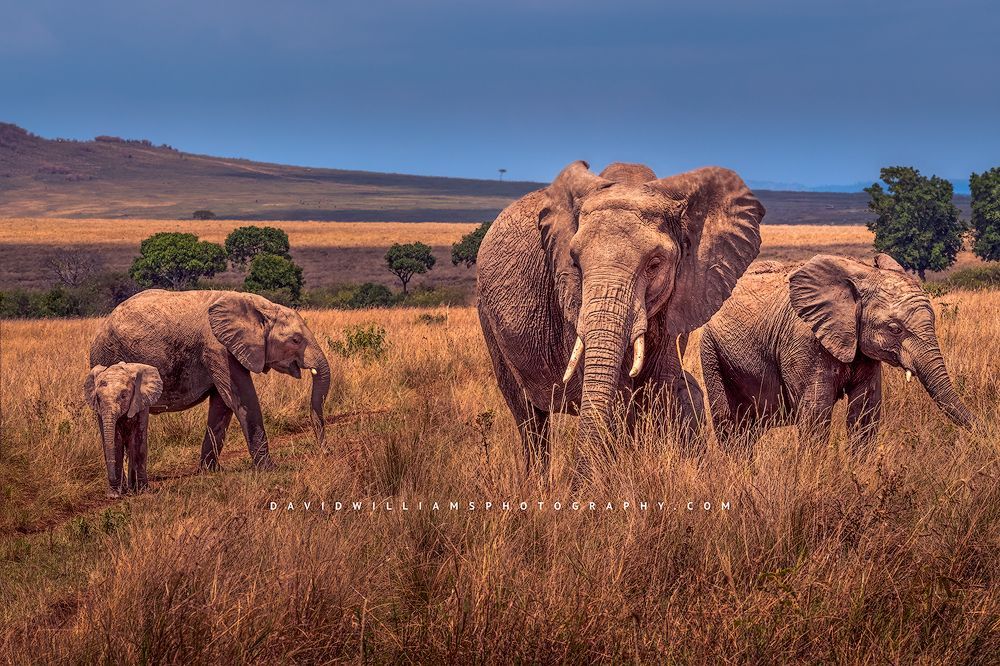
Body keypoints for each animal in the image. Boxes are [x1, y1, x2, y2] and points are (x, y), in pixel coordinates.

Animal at [85, 362, 163, 497]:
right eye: (98, 398)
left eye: (123, 396)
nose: (113, 494)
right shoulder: (100, 412)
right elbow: (115, 442)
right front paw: (114, 494)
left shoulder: (141, 403)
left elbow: (138, 441)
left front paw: (143, 492)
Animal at [90, 290, 330, 470]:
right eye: (296, 340)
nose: (325, 451)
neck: (259, 306)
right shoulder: (218, 349)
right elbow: (240, 399)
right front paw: (269, 469)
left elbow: (222, 405)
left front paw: (209, 471)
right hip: (107, 358)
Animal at [476, 160, 765, 477]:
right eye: (575, 263)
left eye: (654, 264)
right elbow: (616, 397)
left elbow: (660, 385)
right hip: (487, 314)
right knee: (529, 419)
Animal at [699, 254, 976, 453]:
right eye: (894, 329)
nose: (980, 432)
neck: (861, 275)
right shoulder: (805, 343)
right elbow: (816, 415)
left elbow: (865, 411)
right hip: (710, 350)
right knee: (729, 425)